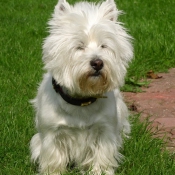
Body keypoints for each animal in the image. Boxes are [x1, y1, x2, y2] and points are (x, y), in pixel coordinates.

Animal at [30, 0, 133, 174]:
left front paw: (100, 171)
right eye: (79, 46)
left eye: (104, 46)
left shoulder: (104, 130)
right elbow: (54, 158)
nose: (97, 63)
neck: (82, 101)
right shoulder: (52, 133)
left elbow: (101, 156)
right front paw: (54, 171)